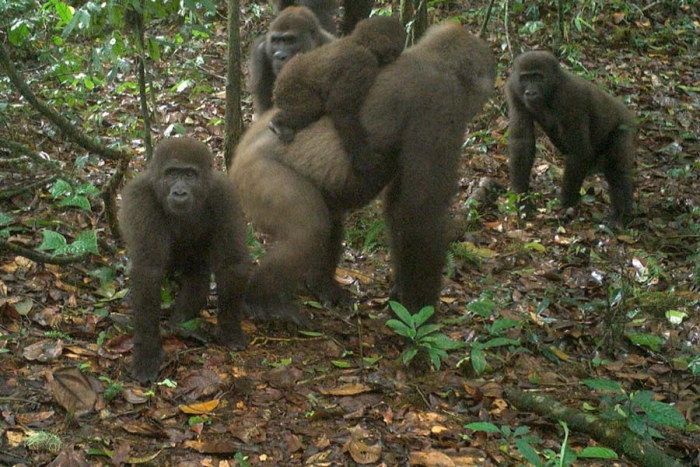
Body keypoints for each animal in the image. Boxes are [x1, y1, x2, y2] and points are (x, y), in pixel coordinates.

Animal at [119, 138, 249, 384]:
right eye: (171, 174)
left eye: (190, 175)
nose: (179, 192)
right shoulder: (141, 197)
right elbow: (148, 271)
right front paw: (147, 350)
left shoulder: (224, 194)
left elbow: (230, 262)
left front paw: (229, 328)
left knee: (198, 275)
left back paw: (182, 325)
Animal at [270, 14, 408, 179]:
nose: (395, 55)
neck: (359, 42)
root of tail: (278, 81)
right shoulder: (361, 63)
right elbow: (341, 109)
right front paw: (364, 160)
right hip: (290, 86)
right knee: (310, 107)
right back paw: (278, 123)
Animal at [506, 50, 636, 224]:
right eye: (525, 78)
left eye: (537, 77)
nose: (530, 92)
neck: (552, 86)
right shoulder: (514, 89)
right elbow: (522, 142)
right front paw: (522, 199)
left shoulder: (571, 97)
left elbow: (579, 151)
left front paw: (565, 205)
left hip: (626, 126)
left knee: (617, 170)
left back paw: (622, 216)